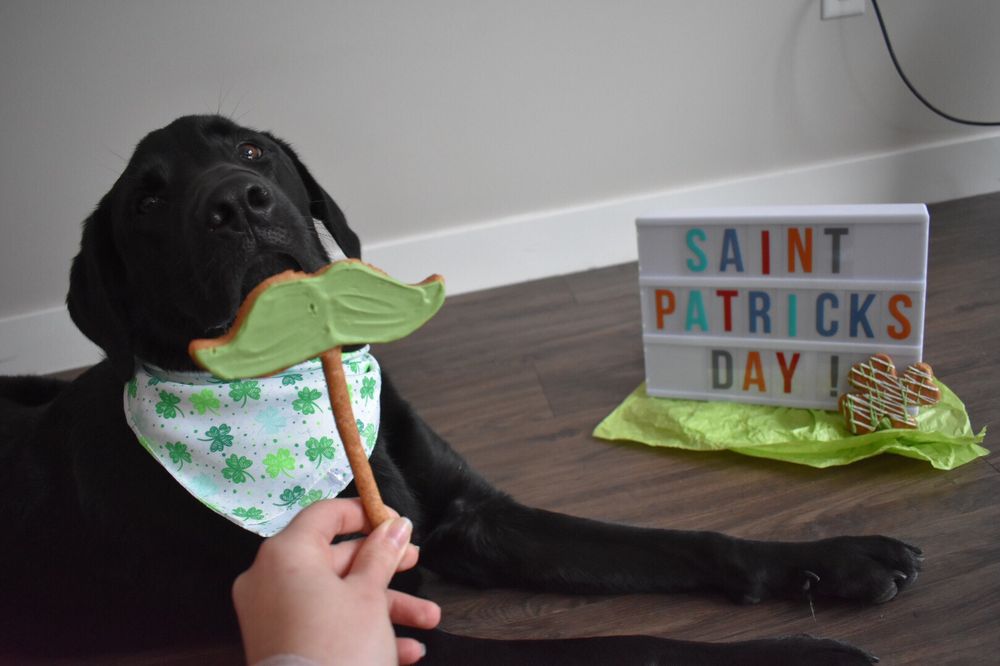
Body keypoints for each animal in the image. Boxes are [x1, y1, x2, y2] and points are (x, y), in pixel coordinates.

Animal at [0, 115, 922, 664]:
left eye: (252, 151)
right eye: (147, 201)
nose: (237, 201)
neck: (309, 396)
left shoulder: (478, 520)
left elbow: (681, 542)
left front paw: (837, 560)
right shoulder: (382, 622)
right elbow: (618, 646)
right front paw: (799, 654)